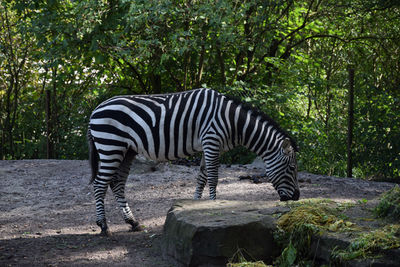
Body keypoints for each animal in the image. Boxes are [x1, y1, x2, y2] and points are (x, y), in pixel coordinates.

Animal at [88, 87, 300, 236]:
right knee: (100, 184)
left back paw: (132, 222)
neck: (233, 122)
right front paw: (214, 205)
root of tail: (95, 109)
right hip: (111, 146)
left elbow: (202, 178)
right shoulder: (212, 141)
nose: (297, 197)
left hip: (126, 151)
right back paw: (103, 226)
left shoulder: (210, 146)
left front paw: (194, 207)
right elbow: (213, 178)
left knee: (117, 184)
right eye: (291, 168)